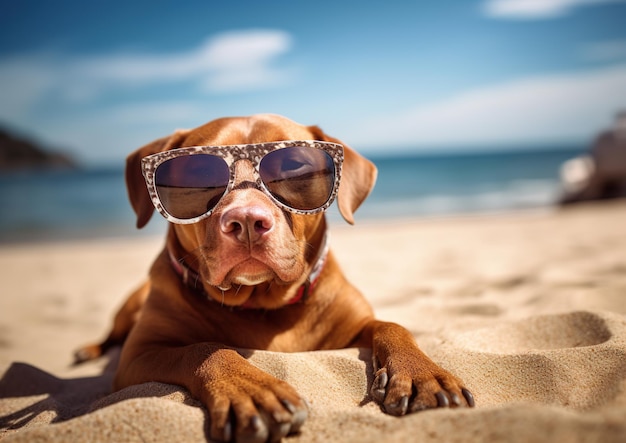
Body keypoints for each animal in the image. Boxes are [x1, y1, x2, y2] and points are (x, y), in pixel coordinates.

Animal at [74, 115, 472, 443]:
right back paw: (87, 349)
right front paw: (250, 390)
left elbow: (392, 326)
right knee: (111, 334)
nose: (247, 220)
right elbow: (203, 348)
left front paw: (421, 373)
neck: (265, 302)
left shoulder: (354, 323)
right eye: (198, 177)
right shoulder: (139, 355)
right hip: (129, 306)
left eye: (294, 168)